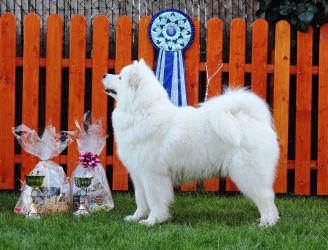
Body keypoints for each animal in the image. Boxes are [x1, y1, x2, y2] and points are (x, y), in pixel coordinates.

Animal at [102, 58, 280, 227]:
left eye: (120, 77)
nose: (104, 75)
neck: (141, 112)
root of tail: (253, 119)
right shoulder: (138, 175)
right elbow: (141, 200)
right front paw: (136, 218)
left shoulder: (152, 176)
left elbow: (155, 202)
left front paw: (152, 221)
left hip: (248, 173)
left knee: (266, 197)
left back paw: (267, 223)